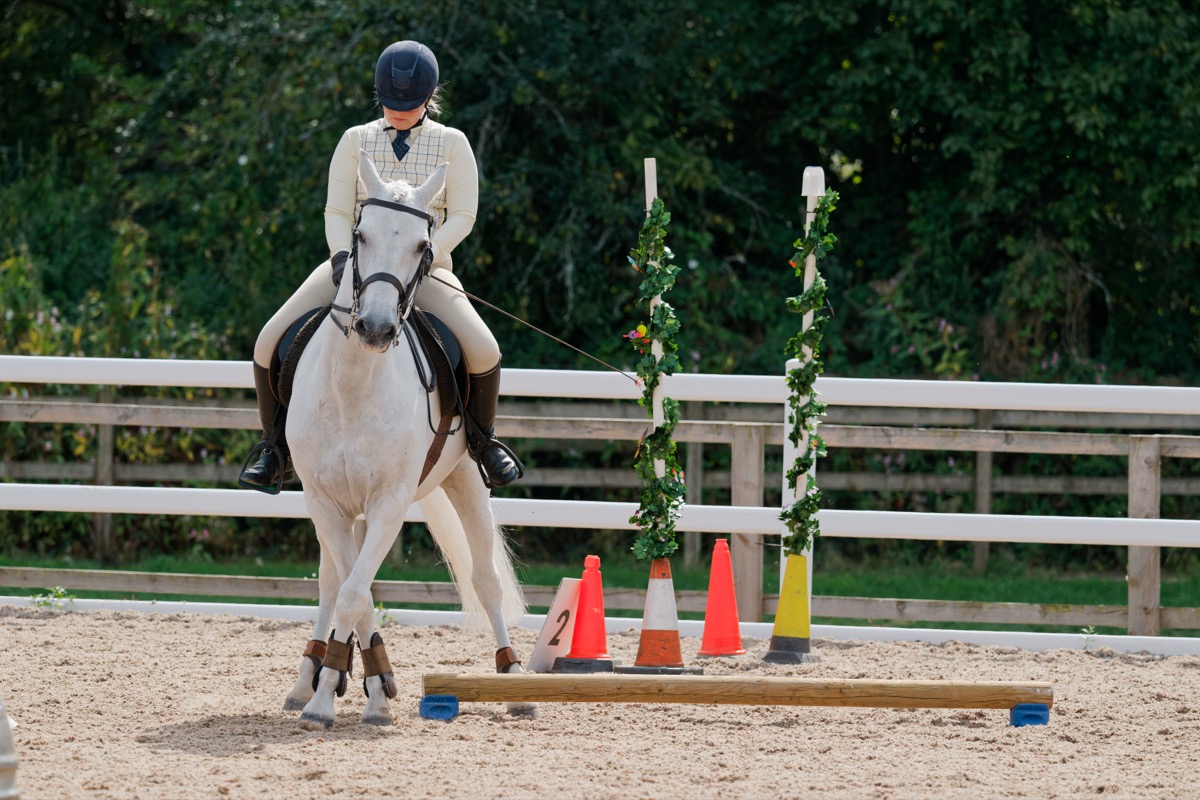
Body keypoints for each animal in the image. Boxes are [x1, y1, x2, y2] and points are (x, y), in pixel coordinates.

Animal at [279, 153, 534, 729]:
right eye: (360, 234)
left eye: (423, 245)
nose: (375, 328)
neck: (353, 386)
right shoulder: (324, 501)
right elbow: (352, 591)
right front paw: (340, 690)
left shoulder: (389, 503)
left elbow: (357, 594)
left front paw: (343, 696)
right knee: (331, 581)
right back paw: (308, 681)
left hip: (466, 478)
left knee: (486, 581)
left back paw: (513, 681)